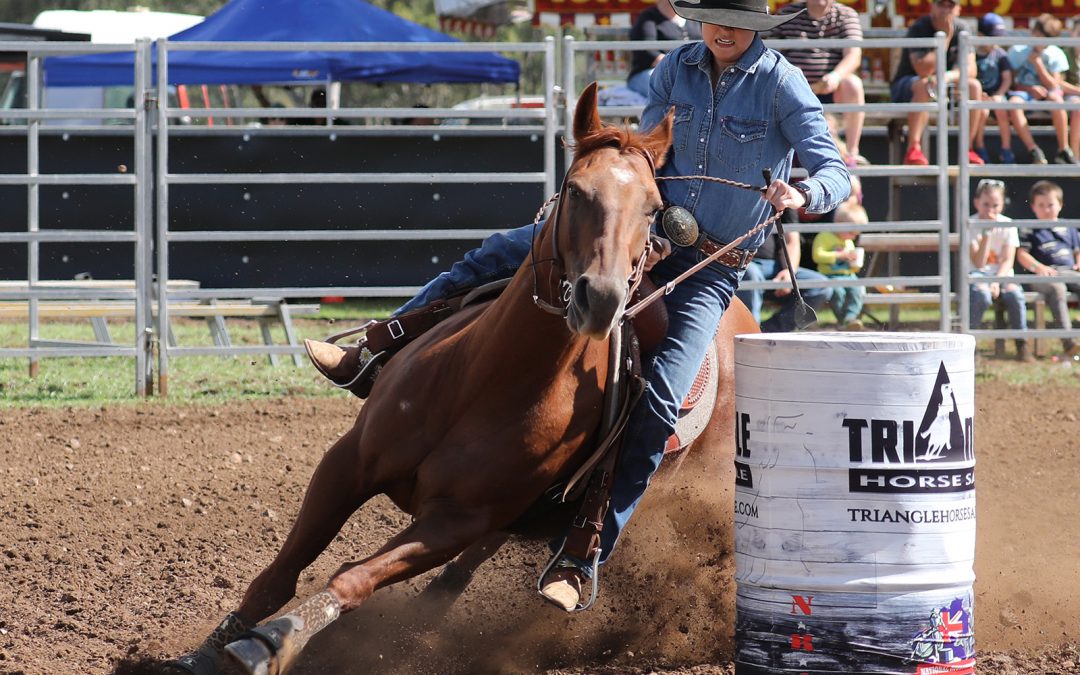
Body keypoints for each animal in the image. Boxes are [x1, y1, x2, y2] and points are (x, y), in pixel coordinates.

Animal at [170, 84, 760, 673]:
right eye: (574, 189)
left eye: (654, 208)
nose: (601, 298)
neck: (486, 382)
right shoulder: (348, 461)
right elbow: (284, 568)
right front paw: (209, 651)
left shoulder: (456, 520)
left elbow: (352, 578)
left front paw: (272, 641)